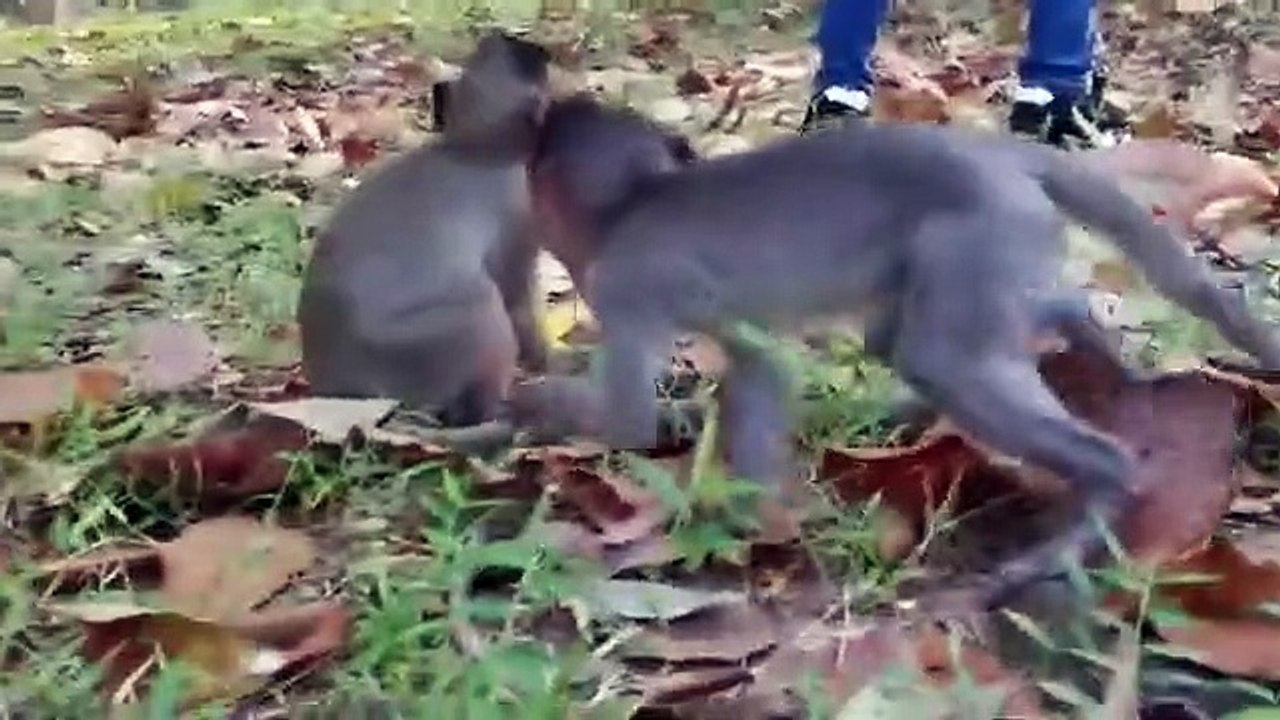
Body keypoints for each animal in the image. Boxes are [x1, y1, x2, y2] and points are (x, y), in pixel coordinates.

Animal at [297, 32, 552, 428]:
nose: (538, 49)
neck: (476, 148)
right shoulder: (519, 233)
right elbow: (521, 304)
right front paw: (547, 360)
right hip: (465, 319)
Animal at [519, 94, 1280, 604]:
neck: (635, 200)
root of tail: (993, 152)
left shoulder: (625, 281)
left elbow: (627, 421)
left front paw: (526, 410)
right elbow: (765, 364)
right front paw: (756, 515)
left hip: (982, 230)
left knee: (945, 359)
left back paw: (1079, 514)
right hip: (1002, 239)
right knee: (920, 339)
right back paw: (1086, 333)